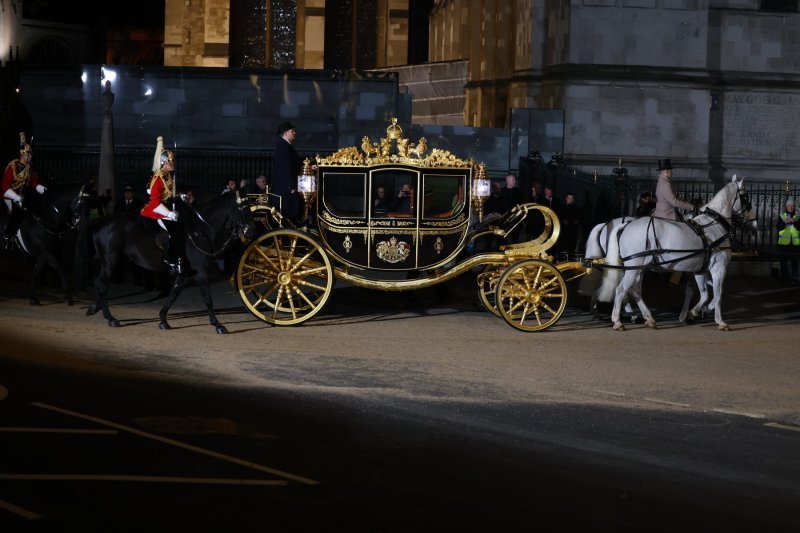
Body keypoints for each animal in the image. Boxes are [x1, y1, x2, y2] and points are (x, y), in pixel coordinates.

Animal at [85, 191, 253, 332]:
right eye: (242, 209)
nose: (251, 232)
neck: (199, 231)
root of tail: (100, 223)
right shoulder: (200, 272)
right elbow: (207, 298)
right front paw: (217, 324)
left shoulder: (184, 273)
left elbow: (173, 294)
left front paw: (163, 320)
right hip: (111, 261)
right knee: (102, 284)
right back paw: (110, 318)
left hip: (115, 261)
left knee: (97, 281)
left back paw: (96, 309)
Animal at [608, 177, 756, 330]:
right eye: (746, 197)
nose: (754, 224)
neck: (715, 225)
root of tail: (626, 225)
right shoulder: (718, 268)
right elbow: (718, 294)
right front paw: (720, 321)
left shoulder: (699, 270)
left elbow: (704, 294)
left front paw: (692, 313)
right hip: (634, 267)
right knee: (621, 289)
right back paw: (618, 321)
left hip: (640, 268)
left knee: (635, 290)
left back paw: (649, 318)